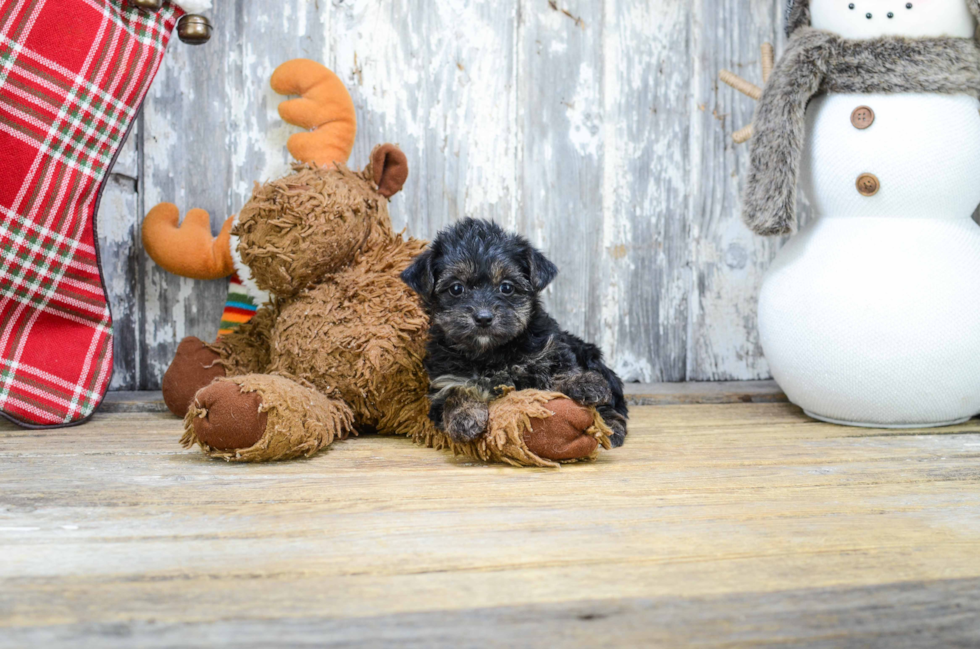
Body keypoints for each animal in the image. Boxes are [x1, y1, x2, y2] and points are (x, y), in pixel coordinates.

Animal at [398, 220, 628, 448]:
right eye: (456, 289)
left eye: (506, 287)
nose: (483, 317)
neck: (490, 352)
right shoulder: (444, 378)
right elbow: (454, 391)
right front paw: (464, 416)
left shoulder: (549, 348)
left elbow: (562, 367)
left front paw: (583, 382)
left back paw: (609, 427)